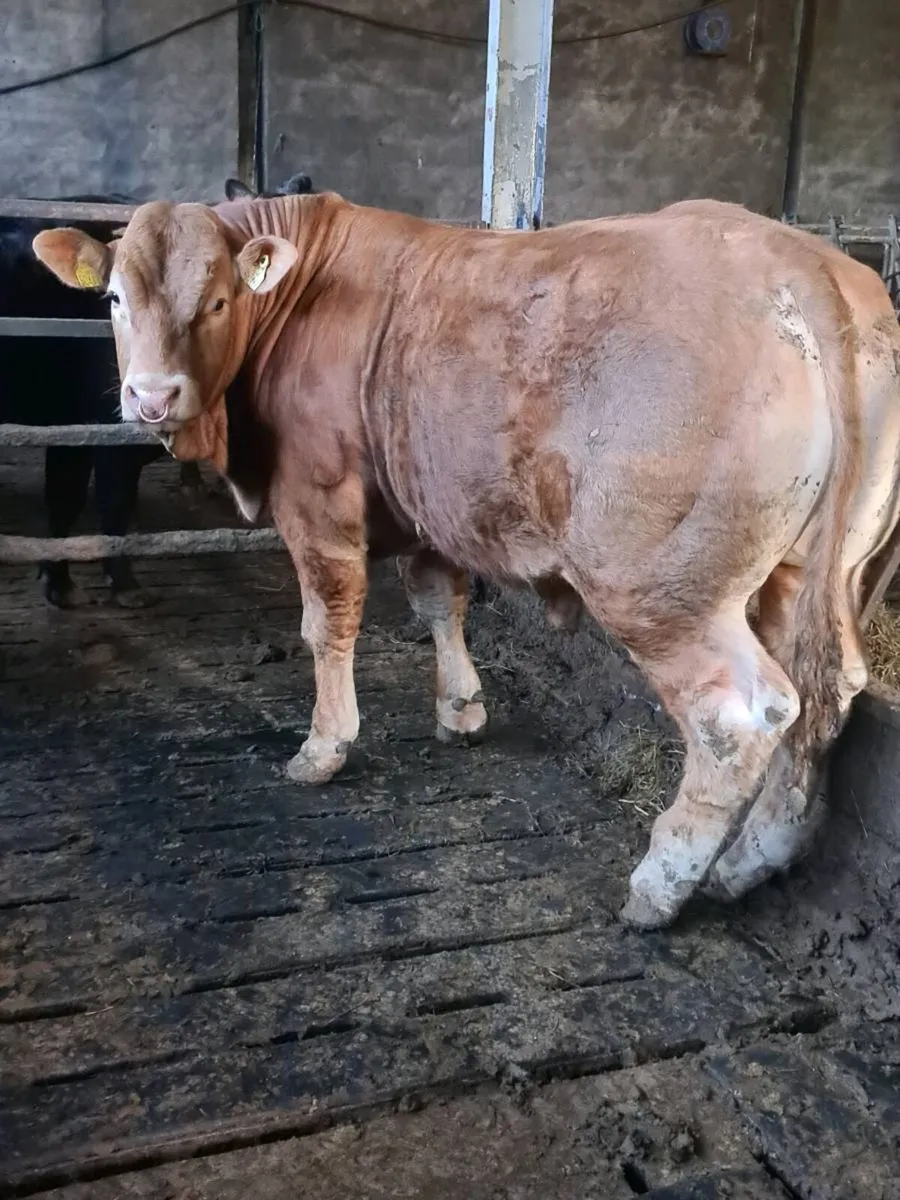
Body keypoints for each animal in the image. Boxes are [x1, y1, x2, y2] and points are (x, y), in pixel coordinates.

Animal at [32, 193, 900, 930]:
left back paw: (662, 883)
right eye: (114, 298)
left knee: (742, 714)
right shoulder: (426, 505)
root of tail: (798, 262)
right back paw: (752, 859)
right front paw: (461, 709)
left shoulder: (317, 503)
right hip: (807, 571)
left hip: (663, 588)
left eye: (215, 301)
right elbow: (438, 601)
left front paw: (323, 748)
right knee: (825, 694)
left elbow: (328, 622)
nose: (152, 397)